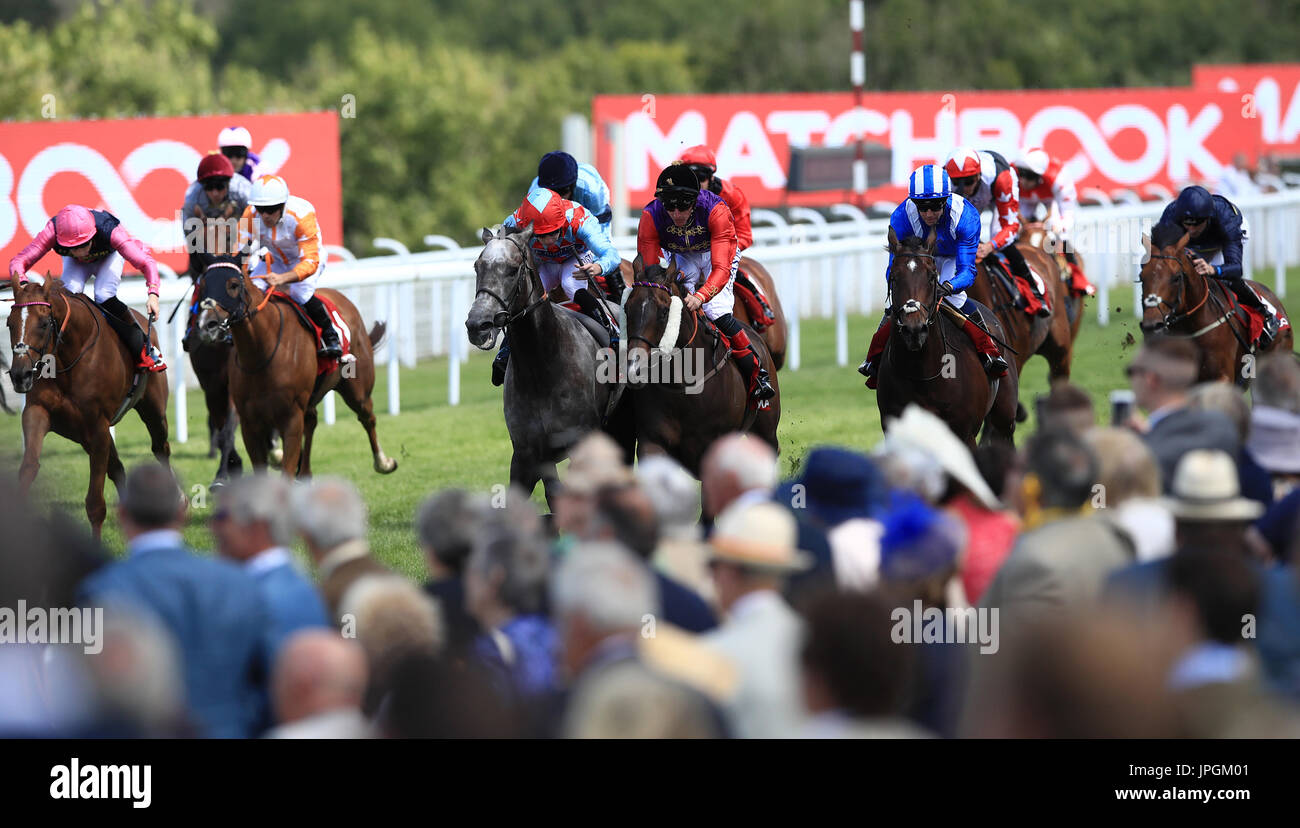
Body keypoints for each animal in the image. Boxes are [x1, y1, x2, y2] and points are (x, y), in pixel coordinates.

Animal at [4, 274, 172, 538]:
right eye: (9, 323)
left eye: (43, 323)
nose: (20, 375)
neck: (66, 361)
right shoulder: (38, 412)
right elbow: (29, 466)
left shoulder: (98, 427)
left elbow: (95, 504)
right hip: (82, 434)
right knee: (117, 468)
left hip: (153, 410)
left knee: (160, 448)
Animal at [193, 257, 395, 478]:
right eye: (203, 286)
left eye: (233, 285)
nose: (207, 325)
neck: (262, 352)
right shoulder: (249, 422)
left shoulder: (291, 418)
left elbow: (287, 469)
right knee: (312, 421)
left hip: (358, 390)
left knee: (367, 417)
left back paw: (383, 462)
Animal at [465, 220, 631, 504]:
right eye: (478, 266)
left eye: (512, 270)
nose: (478, 325)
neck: (541, 370)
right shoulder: (527, 453)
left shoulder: (581, 444)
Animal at [621, 258, 774, 478]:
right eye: (626, 308)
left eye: (664, 311)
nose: (635, 369)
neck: (681, 385)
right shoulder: (653, 441)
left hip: (767, 429)